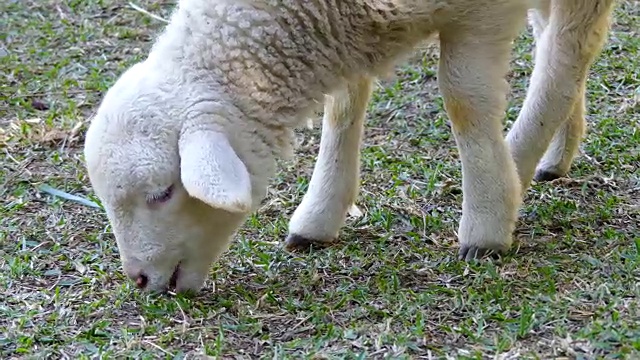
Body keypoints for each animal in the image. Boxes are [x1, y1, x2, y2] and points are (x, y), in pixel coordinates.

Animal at [84, 0, 616, 294]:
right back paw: (553, 154)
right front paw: (319, 216)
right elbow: (342, 106)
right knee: (562, 42)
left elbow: (464, 100)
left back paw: (519, 165)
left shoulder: (481, 12)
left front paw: (485, 222)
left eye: (163, 193)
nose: (138, 280)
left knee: (567, 51)